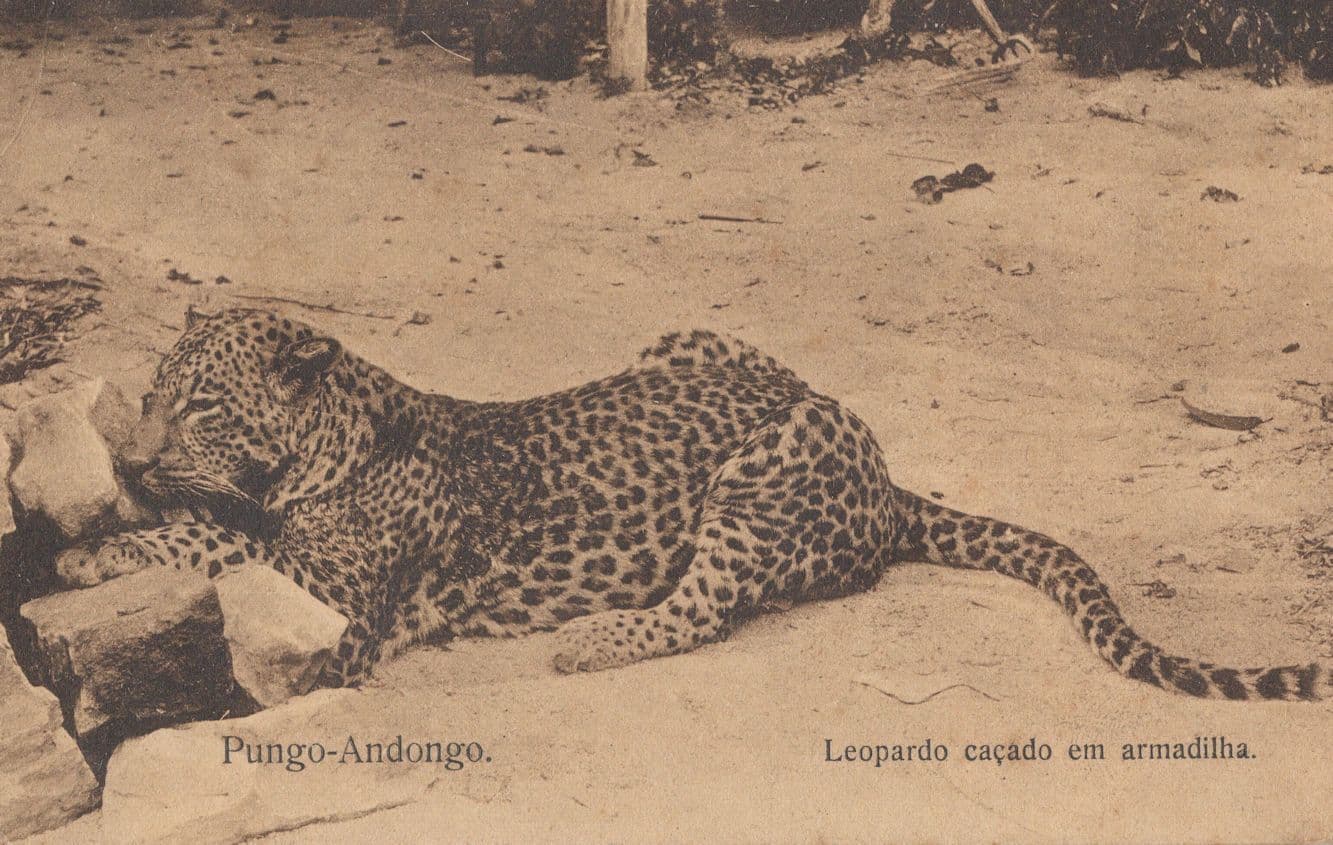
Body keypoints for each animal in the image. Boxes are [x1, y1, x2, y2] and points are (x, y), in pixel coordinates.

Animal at [65, 307, 1328, 701]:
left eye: (199, 405)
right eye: (148, 396)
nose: (126, 461)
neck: (321, 447)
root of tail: (883, 469)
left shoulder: (334, 597)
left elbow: (226, 550)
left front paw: (106, 552)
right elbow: (211, 532)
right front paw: (96, 543)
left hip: (758, 475)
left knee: (702, 608)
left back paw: (591, 637)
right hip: (684, 338)